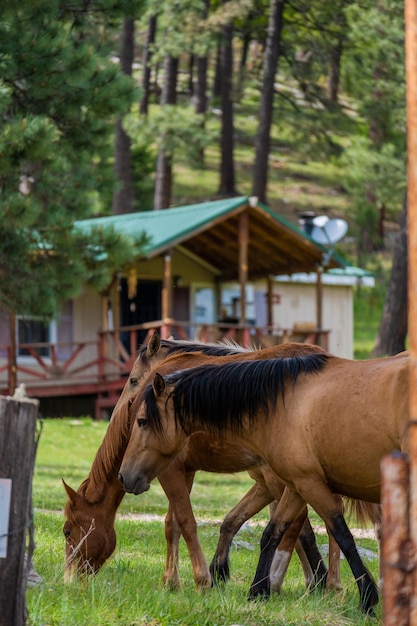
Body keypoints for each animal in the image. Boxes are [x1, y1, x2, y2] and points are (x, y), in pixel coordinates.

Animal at [63, 334, 352, 588]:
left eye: (67, 531)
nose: (69, 579)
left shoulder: (171, 472)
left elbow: (187, 522)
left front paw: (201, 579)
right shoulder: (187, 472)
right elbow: (173, 524)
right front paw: (172, 581)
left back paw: (322, 583)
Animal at [118, 348, 410, 612]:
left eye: (142, 421)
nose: (124, 475)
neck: (284, 403)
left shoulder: (310, 484)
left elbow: (342, 534)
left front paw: (367, 597)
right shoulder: (297, 485)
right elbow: (272, 533)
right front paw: (257, 591)